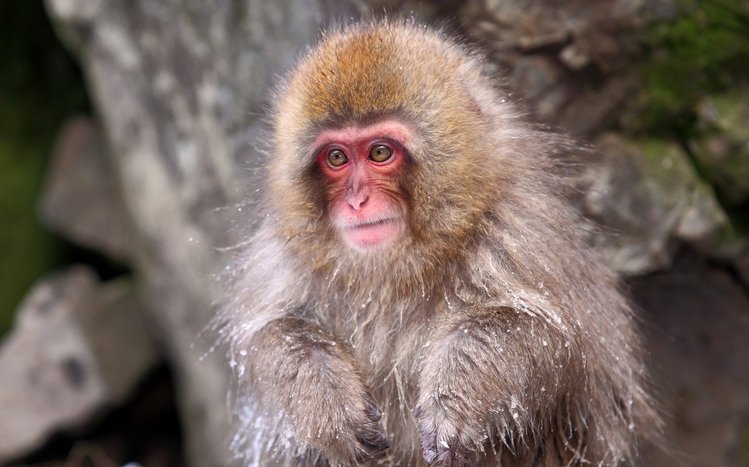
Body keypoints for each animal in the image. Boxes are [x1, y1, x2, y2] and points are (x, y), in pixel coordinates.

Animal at [217, 20, 658, 467]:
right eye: (336, 157)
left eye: (380, 152)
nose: (357, 201)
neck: (399, 267)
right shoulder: (287, 254)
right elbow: (268, 335)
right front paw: (325, 399)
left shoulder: (521, 233)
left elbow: (555, 340)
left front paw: (457, 398)